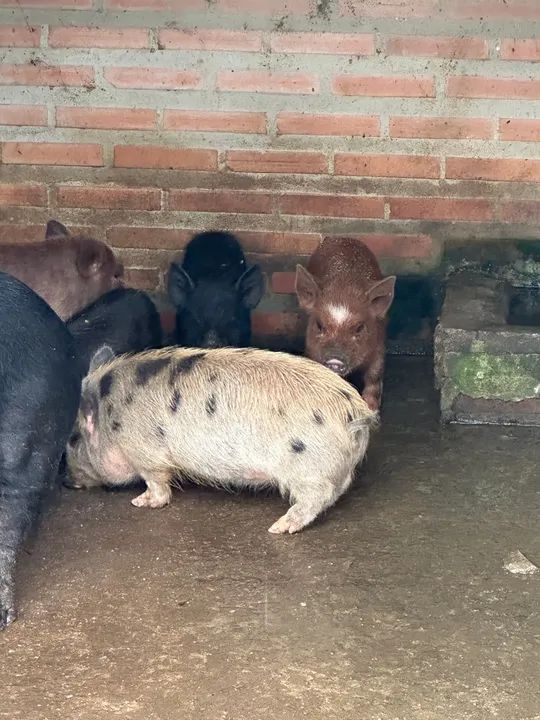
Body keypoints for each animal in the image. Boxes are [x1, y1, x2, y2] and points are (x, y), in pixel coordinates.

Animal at [66, 345, 377, 535]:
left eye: (72, 440)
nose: (66, 482)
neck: (111, 420)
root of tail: (356, 413)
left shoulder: (145, 453)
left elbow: (158, 486)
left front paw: (139, 502)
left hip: (307, 468)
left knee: (318, 496)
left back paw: (278, 527)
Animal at [295, 237, 396, 412]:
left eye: (359, 327)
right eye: (319, 325)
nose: (335, 360)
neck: (344, 288)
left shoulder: (379, 346)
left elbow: (374, 375)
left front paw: (371, 408)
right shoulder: (312, 350)